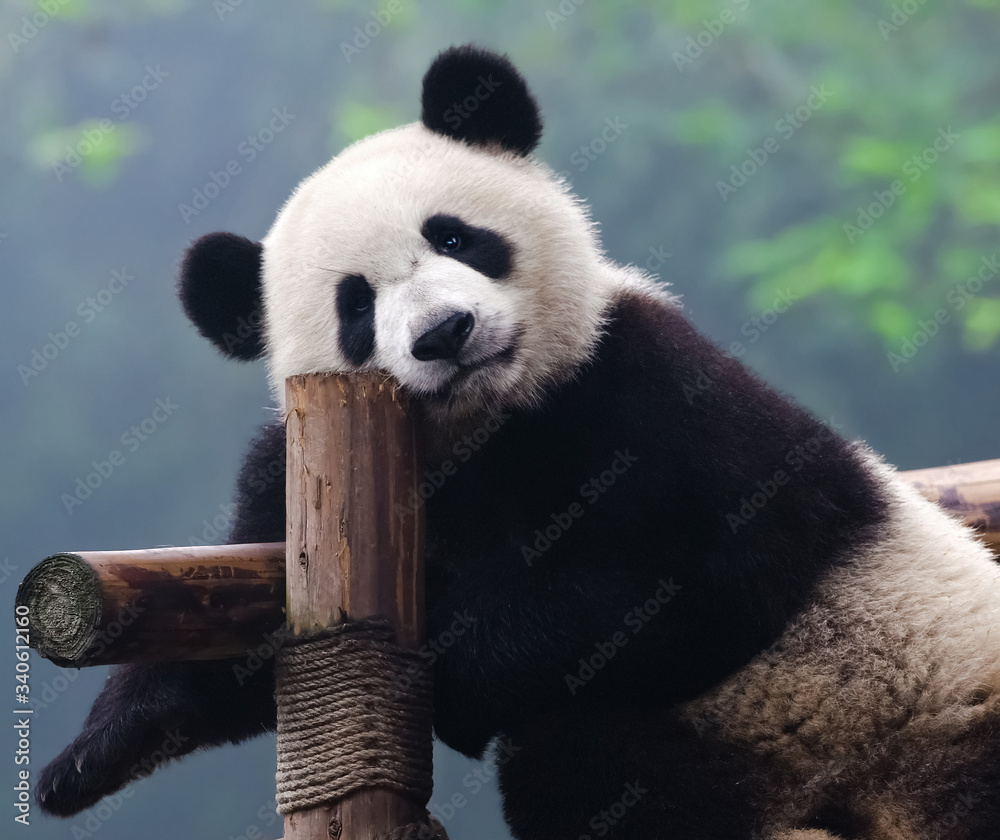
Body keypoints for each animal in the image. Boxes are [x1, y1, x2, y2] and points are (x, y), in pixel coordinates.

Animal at [37, 45, 1000, 840]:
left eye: (454, 236)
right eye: (356, 305)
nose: (444, 333)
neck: (489, 423)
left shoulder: (649, 382)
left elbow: (716, 557)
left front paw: (455, 670)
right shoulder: (295, 477)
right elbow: (233, 632)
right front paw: (83, 759)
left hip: (930, 706)